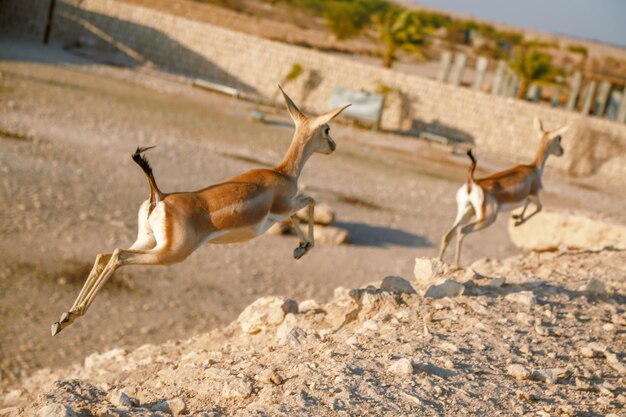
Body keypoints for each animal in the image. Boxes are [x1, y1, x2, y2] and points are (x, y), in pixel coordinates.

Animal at [51, 86, 348, 334]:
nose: (334, 146)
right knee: (118, 256)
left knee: (104, 255)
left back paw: (64, 318)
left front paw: (300, 249)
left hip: (148, 241)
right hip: (169, 254)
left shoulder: (283, 212)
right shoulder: (284, 206)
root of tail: (159, 196)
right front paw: (303, 248)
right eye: (327, 129)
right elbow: (310, 201)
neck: (282, 173)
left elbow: (302, 210)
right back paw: (67, 319)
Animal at [436, 117, 568, 266]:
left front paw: (516, 217)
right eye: (559, 139)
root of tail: (472, 181)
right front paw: (518, 222)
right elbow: (539, 208)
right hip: (487, 218)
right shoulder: (534, 195)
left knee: (448, 235)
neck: (534, 169)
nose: (562, 151)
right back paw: (457, 265)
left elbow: (526, 206)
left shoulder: (527, 198)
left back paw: (440, 261)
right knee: (462, 231)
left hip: (466, 212)